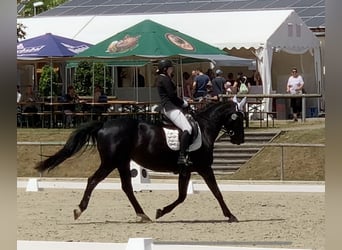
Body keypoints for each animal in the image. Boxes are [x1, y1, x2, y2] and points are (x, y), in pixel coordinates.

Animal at [36, 100, 244, 222]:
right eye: (239, 118)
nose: (240, 140)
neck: (204, 128)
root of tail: (104, 124)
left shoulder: (186, 170)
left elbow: (182, 196)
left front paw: (161, 211)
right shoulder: (204, 167)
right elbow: (217, 192)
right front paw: (231, 215)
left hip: (122, 162)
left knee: (127, 187)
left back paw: (142, 214)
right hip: (110, 162)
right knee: (93, 180)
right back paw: (79, 210)